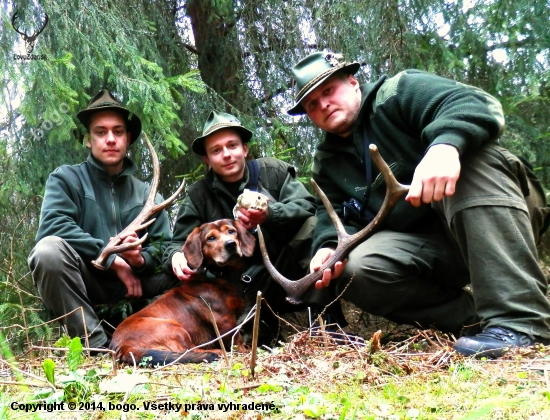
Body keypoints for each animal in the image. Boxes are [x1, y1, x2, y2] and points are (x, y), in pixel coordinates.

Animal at [111, 220, 260, 364]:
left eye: (231, 231)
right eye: (210, 238)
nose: (230, 244)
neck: (221, 276)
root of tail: (122, 347)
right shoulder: (225, 319)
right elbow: (237, 340)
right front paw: (245, 351)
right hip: (174, 327)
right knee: (187, 350)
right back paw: (216, 352)